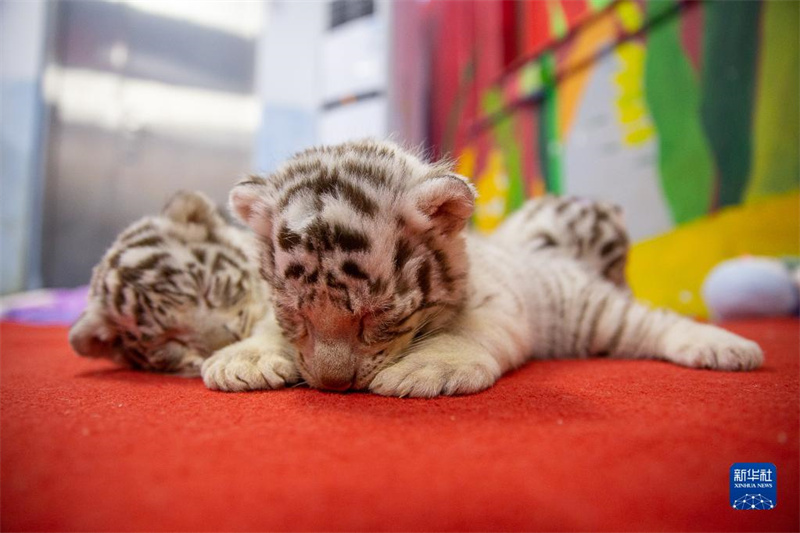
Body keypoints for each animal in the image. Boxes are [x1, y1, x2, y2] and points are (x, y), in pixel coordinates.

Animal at [200, 139, 763, 397]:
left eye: (379, 315)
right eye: (295, 313)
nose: (334, 385)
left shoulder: (500, 307)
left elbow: (465, 333)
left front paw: (424, 368)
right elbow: (265, 330)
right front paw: (244, 357)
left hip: (598, 314)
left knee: (655, 322)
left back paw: (728, 347)